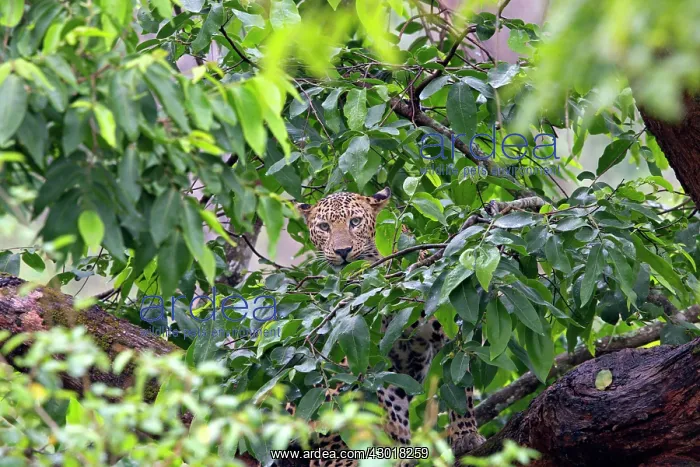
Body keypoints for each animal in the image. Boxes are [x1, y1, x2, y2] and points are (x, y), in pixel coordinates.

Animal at [284, 187, 485, 467]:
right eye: (324, 227)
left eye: (355, 222)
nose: (343, 251)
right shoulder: (378, 363)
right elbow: (391, 411)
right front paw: (400, 452)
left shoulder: (449, 336)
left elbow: (460, 388)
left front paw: (466, 435)